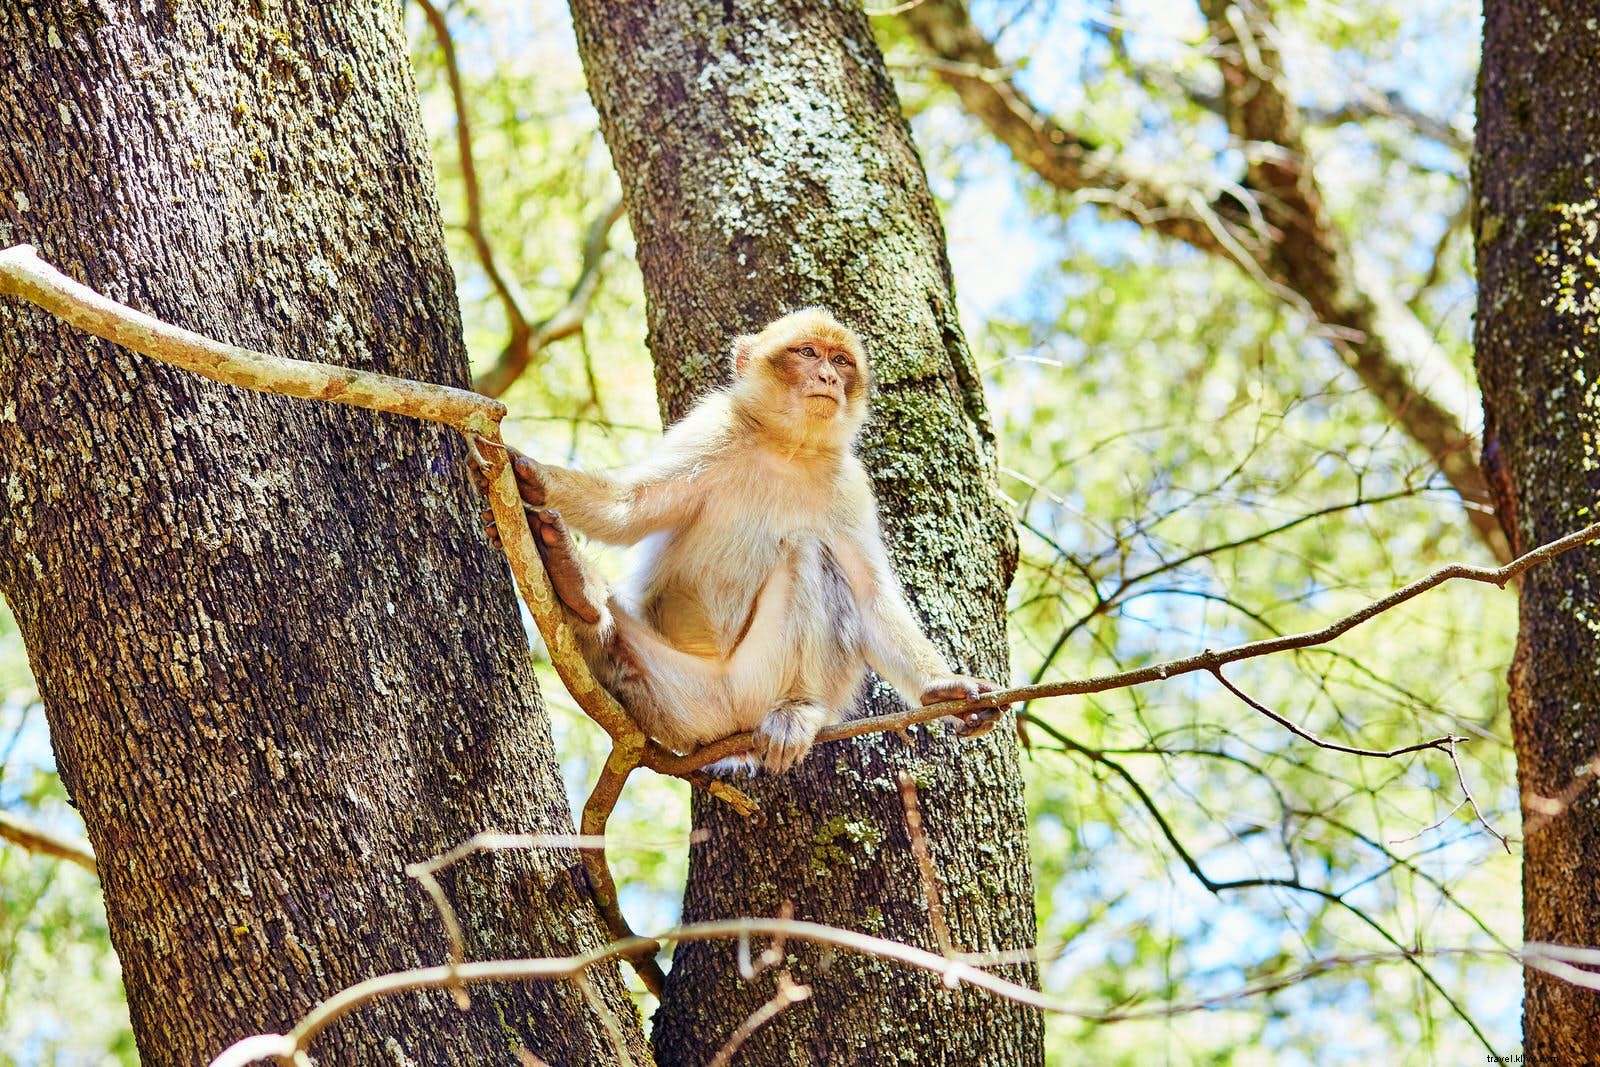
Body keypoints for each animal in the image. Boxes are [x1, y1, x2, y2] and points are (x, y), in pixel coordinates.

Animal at [479, 308, 1006, 774]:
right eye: (808, 352)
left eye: (841, 361)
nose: (828, 378)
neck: (786, 449)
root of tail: (731, 725)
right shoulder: (711, 431)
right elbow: (628, 509)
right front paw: (534, 480)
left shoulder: (849, 486)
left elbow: (869, 594)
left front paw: (943, 689)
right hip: (682, 701)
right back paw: (576, 586)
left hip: (760, 682)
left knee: (810, 553)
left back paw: (799, 708)